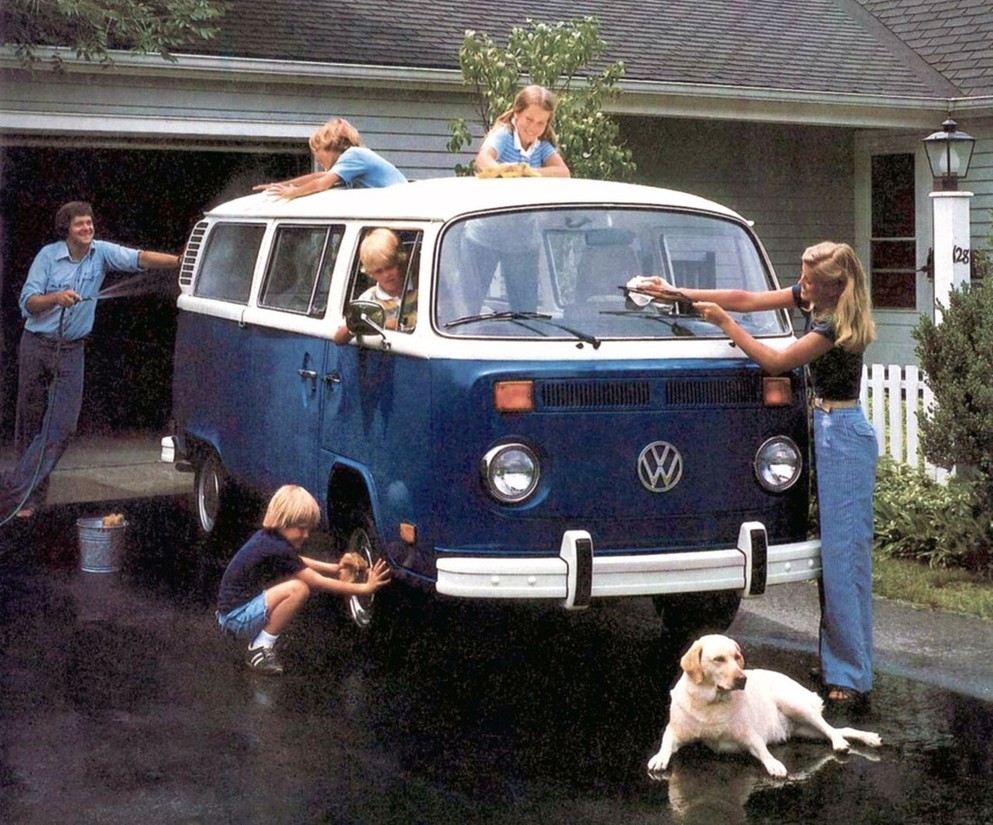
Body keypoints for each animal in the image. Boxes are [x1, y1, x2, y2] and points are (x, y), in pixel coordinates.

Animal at [647, 634, 882, 778]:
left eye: (737, 657)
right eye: (719, 659)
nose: (743, 679)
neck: (712, 703)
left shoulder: (751, 735)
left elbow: (763, 749)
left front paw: (774, 764)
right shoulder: (674, 731)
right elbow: (666, 743)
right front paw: (659, 758)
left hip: (796, 706)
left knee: (832, 730)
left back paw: (844, 743)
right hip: (805, 730)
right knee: (841, 729)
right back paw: (868, 738)